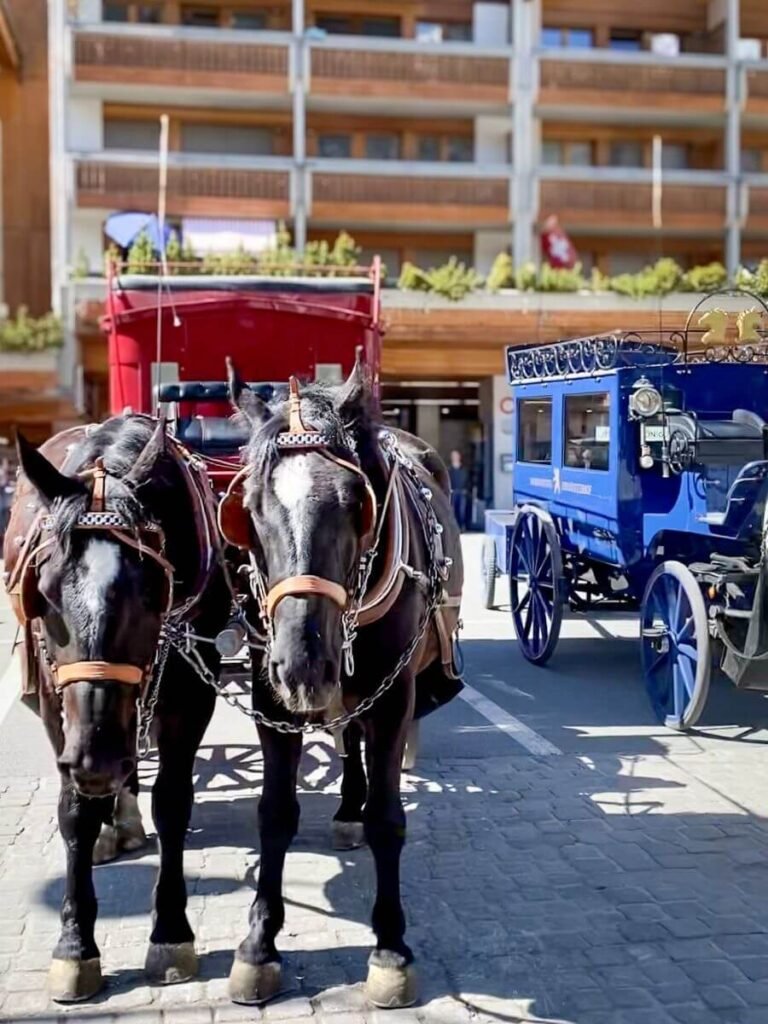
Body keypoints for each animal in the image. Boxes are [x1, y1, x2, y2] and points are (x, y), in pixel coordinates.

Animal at [225, 354, 466, 1007]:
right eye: (248, 507)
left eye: (356, 500)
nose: (304, 662)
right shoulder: (269, 694)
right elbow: (274, 813)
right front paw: (259, 944)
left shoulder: (395, 695)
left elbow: (388, 817)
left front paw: (390, 947)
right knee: (345, 735)